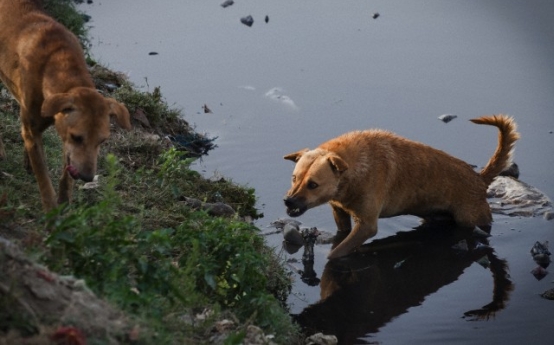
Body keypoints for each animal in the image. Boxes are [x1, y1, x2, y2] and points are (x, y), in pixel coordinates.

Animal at [0, 0, 130, 211]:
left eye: (102, 141)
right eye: (77, 137)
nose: (87, 177)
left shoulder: (62, 133)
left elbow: (65, 171)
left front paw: (64, 201)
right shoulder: (36, 130)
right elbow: (44, 178)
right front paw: (51, 211)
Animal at [284, 115, 516, 258]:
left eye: (313, 184)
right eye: (294, 178)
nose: (288, 201)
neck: (353, 171)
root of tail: (479, 179)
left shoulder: (367, 225)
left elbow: (336, 253)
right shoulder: (339, 212)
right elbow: (341, 233)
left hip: (470, 218)